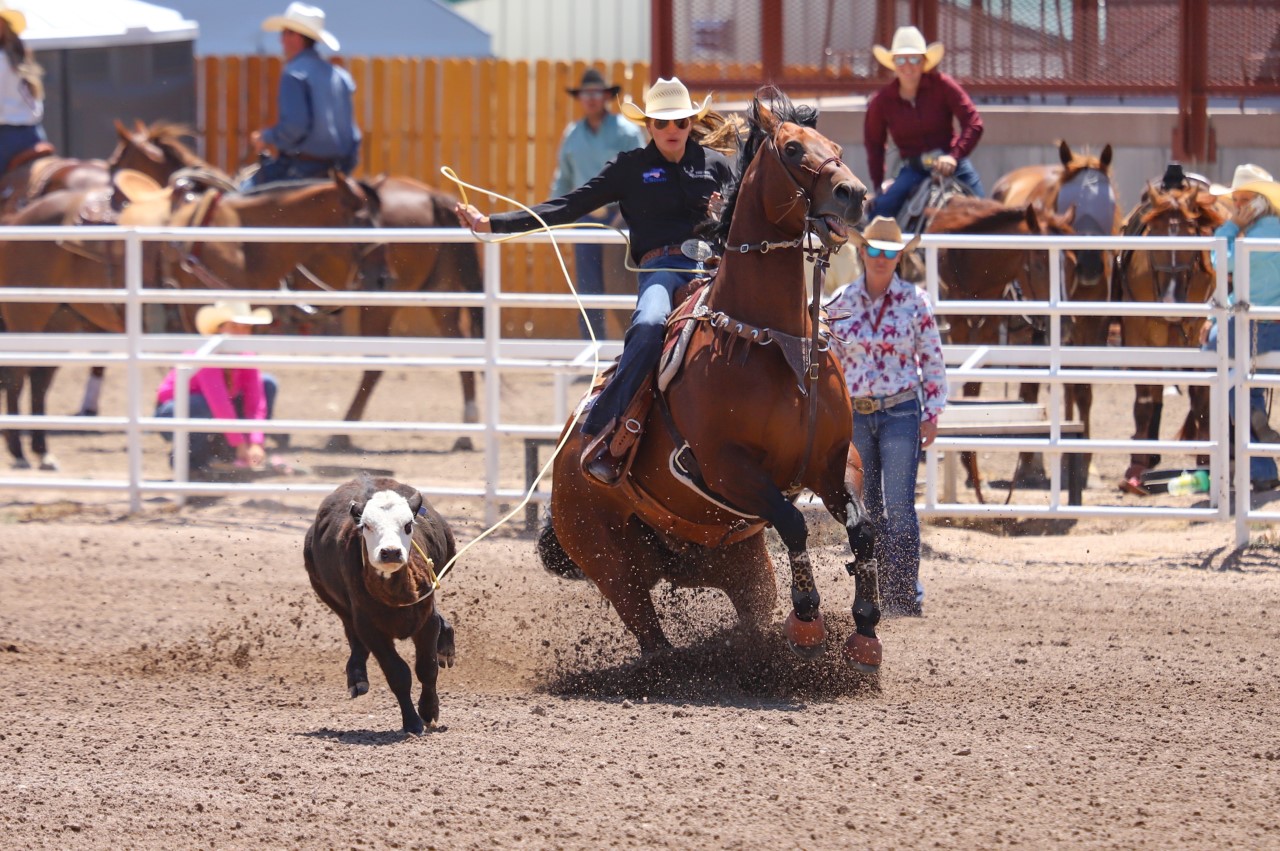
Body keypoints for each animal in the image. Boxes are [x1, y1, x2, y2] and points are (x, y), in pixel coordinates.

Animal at [535, 92, 885, 665]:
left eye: (834, 145)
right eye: (792, 148)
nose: (853, 194)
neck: (773, 341)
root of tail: (564, 465)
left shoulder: (835, 460)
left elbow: (863, 528)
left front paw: (866, 628)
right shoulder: (727, 468)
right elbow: (792, 522)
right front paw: (808, 621)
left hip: (740, 566)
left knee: (751, 606)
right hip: (612, 567)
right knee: (651, 638)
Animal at [926, 197, 1075, 504]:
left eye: (1073, 265)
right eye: (1040, 263)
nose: (1065, 326)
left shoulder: (987, 333)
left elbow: (972, 392)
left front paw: (973, 471)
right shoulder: (959, 332)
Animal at [1111, 185, 1228, 491]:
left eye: (1192, 240)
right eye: (1154, 240)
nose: (1172, 301)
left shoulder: (1198, 337)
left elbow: (1201, 396)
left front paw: (1205, 461)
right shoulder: (1137, 335)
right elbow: (1144, 399)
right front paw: (1136, 469)